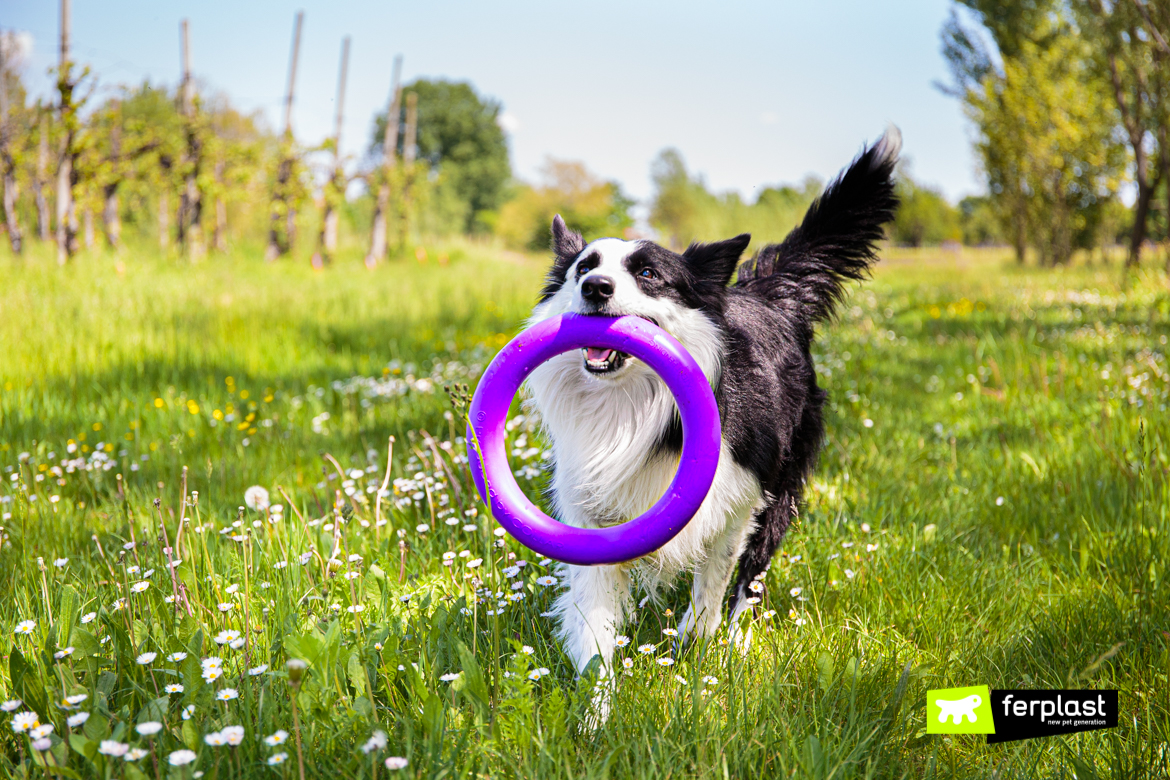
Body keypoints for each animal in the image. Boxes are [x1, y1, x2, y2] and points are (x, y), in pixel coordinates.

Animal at [526, 128, 898, 696]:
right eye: (583, 268)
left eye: (648, 273)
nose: (595, 288)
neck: (631, 406)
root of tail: (766, 293)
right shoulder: (592, 512)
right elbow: (595, 624)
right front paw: (598, 703)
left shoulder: (738, 497)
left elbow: (714, 582)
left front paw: (698, 650)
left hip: (781, 487)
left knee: (753, 575)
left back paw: (740, 637)